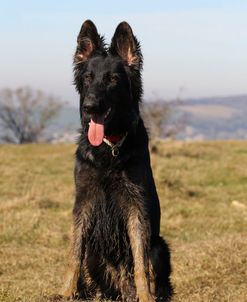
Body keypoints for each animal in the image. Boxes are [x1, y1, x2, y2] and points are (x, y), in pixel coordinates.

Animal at [60, 20, 173, 300]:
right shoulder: (84, 201)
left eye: (112, 80)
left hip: (160, 246)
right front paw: (66, 292)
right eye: (88, 78)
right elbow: (74, 254)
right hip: (95, 255)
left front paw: (146, 297)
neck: (109, 149)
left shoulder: (136, 207)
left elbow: (140, 262)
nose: (89, 107)